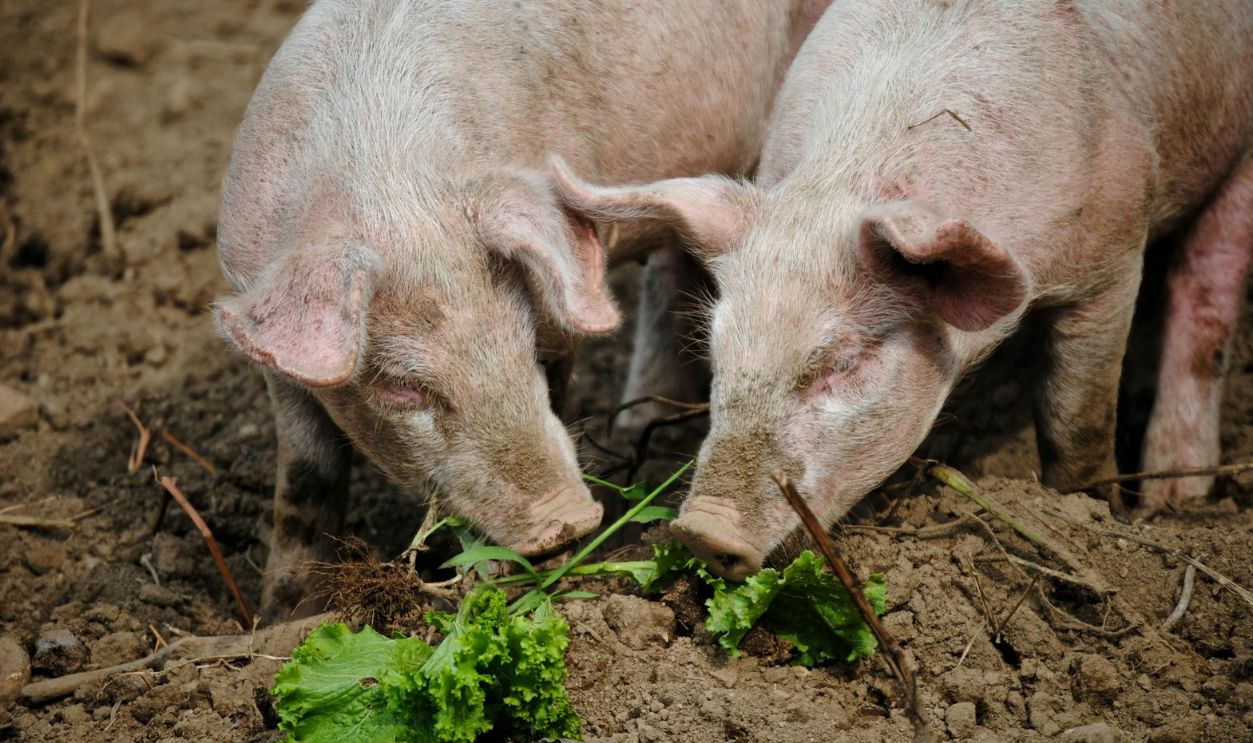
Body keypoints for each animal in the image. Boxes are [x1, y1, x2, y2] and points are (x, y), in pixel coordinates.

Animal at [214, 0, 829, 618]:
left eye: (527, 345)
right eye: (400, 386)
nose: (570, 517)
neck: (389, 185)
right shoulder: (274, 354)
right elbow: (305, 480)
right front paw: (283, 616)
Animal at [553, 0, 1253, 578]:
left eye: (844, 362)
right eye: (718, 353)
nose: (702, 529)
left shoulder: (1115, 255)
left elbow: (1074, 418)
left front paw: (1092, 511)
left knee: (1207, 291)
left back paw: (1176, 498)